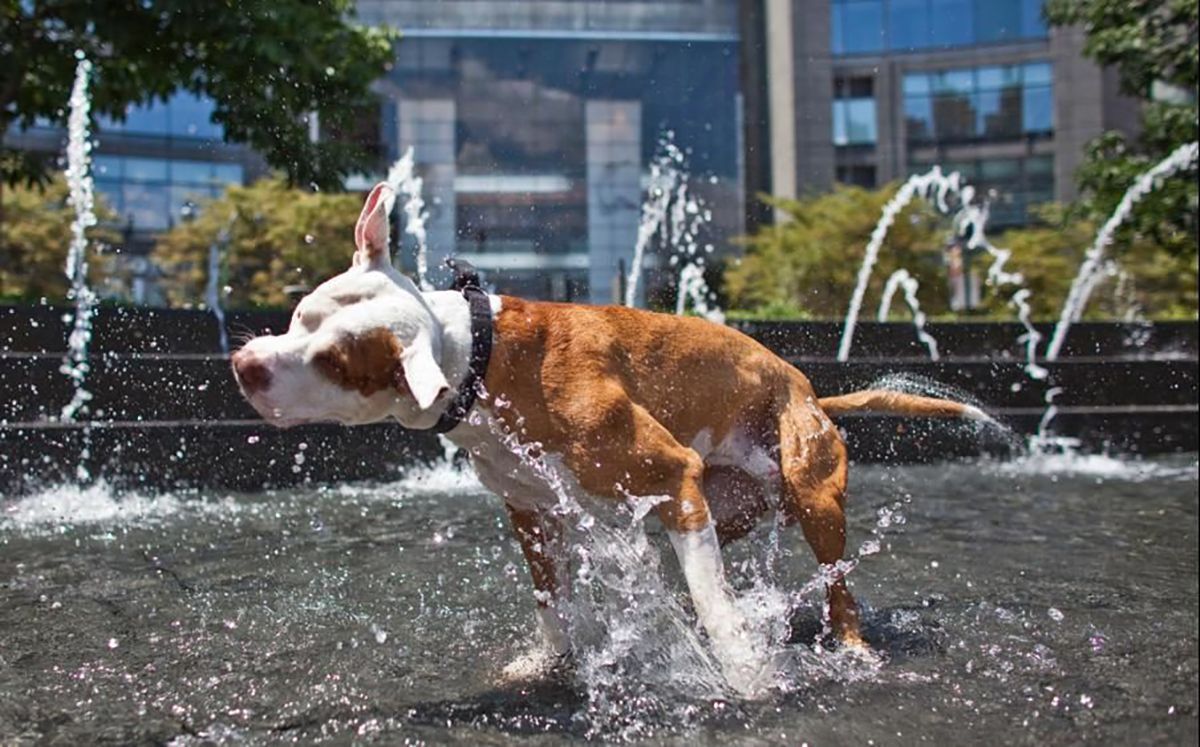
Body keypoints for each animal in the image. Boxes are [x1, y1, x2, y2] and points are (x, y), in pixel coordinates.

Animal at [231, 184, 984, 686]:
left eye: (335, 362)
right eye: (300, 315)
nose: (245, 365)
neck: (481, 359)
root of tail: (807, 388)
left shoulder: (670, 472)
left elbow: (715, 608)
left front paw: (743, 673)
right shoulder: (533, 511)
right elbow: (554, 602)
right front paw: (550, 659)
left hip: (807, 495)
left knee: (834, 584)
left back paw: (851, 645)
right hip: (719, 505)